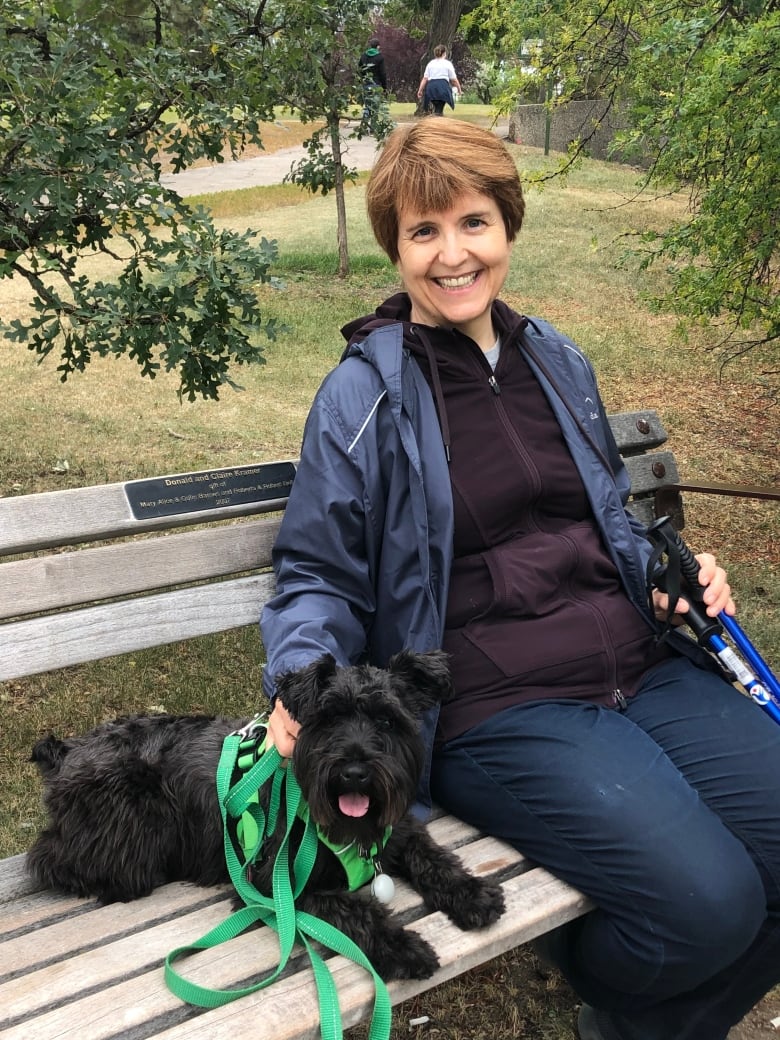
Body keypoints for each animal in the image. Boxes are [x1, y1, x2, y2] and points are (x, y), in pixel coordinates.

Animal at [27, 648, 507, 981]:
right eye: (328, 719)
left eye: (388, 721)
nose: (353, 773)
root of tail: (65, 751)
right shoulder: (275, 884)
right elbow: (353, 909)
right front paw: (402, 947)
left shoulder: (399, 830)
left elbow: (433, 857)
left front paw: (472, 894)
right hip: (133, 812)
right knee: (51, 859)